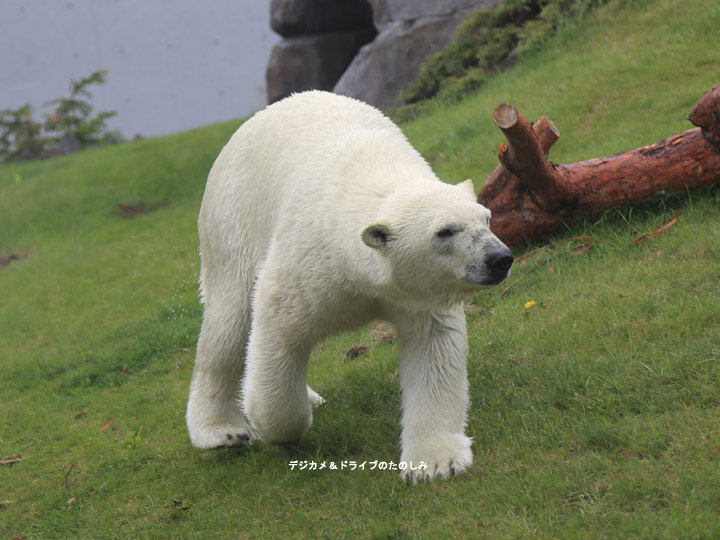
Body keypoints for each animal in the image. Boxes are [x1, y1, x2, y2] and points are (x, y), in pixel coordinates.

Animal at [186, 90, 512, 484]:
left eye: (487, 218)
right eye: (444, 231)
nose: (499, 258)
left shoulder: (419, 294)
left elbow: (433, 348)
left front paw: (434, 462)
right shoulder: (309, 261)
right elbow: (277, 331)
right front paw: (279, 426)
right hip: (233, 221)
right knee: (229, 321)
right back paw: (222, 431)